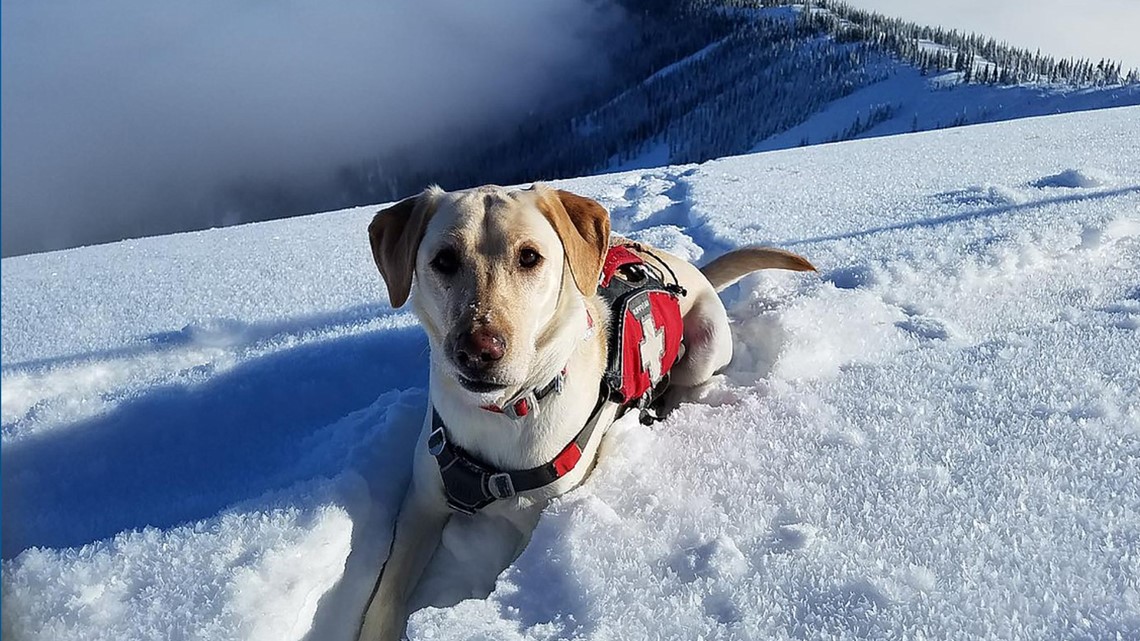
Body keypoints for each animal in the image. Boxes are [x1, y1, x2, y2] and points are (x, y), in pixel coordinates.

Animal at [355, 182, 811, 634]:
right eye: (444, 259)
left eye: (529, 257)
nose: (478, 350)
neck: (503, 411)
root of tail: (691, 269)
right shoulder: (421, 501)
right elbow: (384, 593)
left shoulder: (538, 516)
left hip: (707, 344)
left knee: (689, 381)